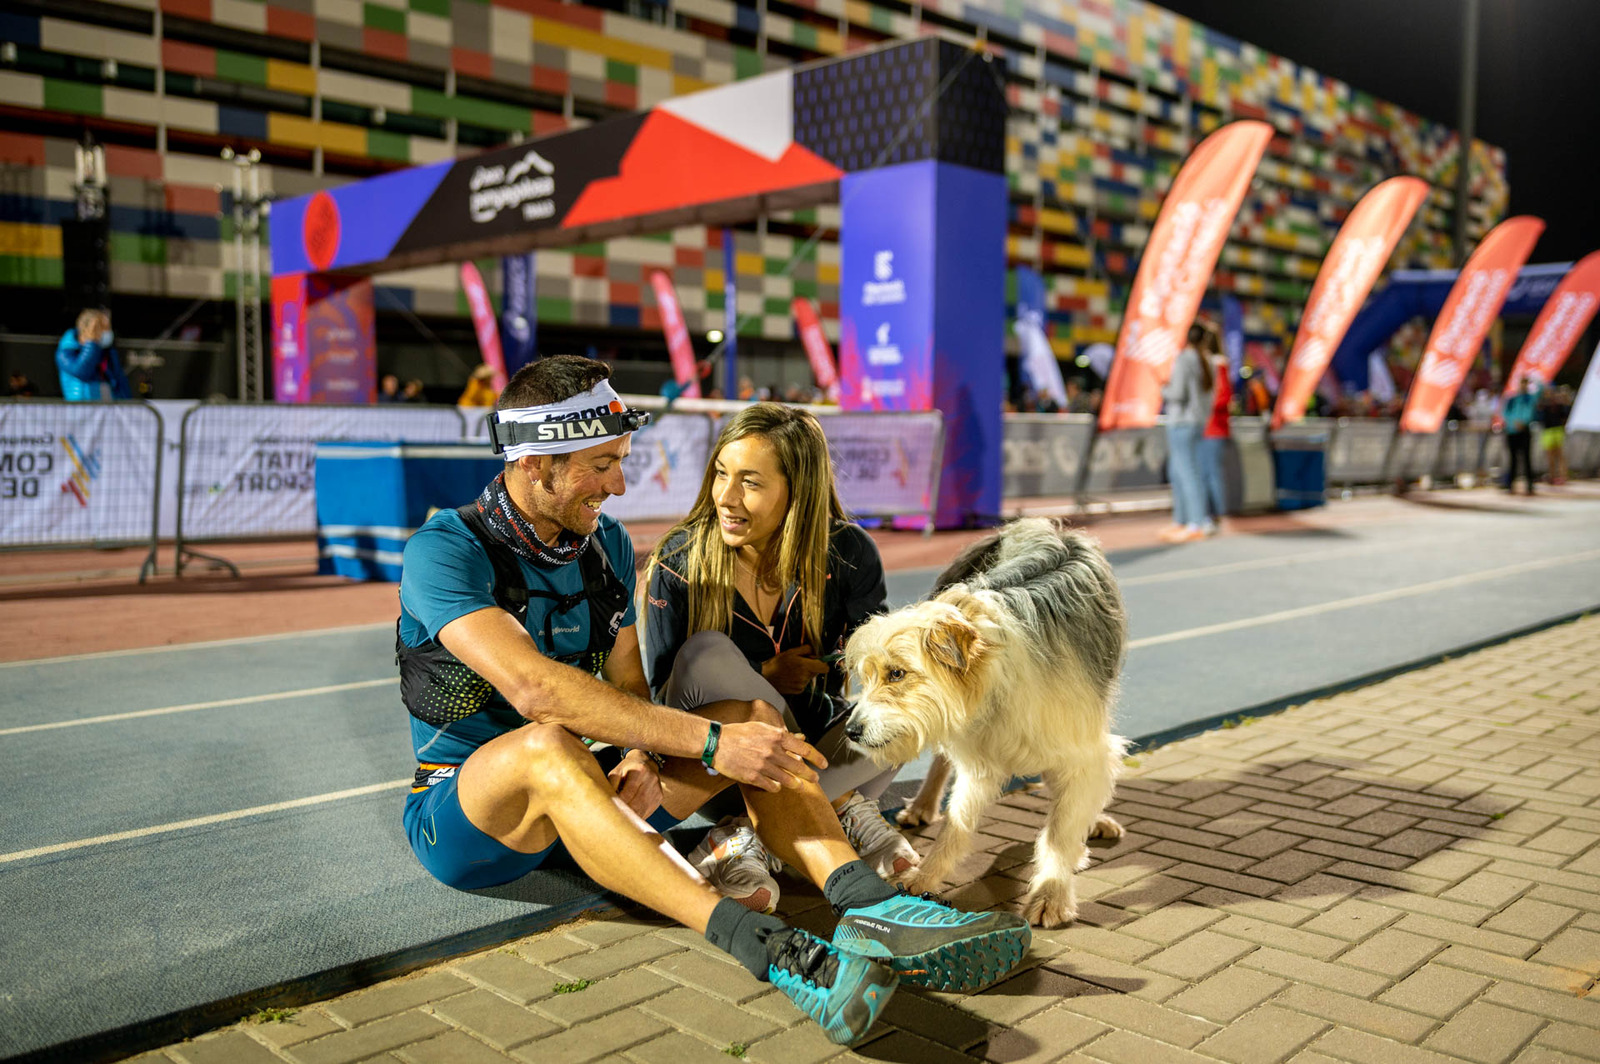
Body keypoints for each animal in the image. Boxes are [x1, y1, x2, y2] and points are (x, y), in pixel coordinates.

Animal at [844, 518, 1128, 927]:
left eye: (896, 673)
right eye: (864, 678)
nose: (850, 731)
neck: (993, 676)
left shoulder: (1082, 746)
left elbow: (1061, 829)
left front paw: (1051, 892)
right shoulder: (979, 758)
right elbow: (956, 823)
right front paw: (926, 875)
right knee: (941, 762)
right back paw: (922, 806)